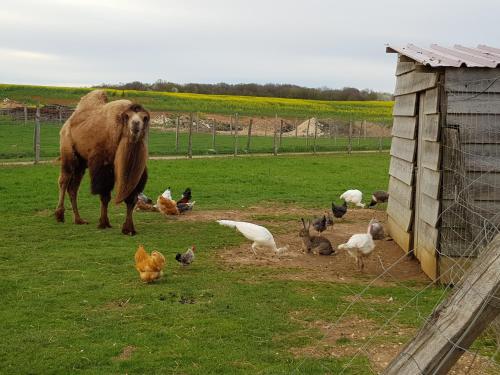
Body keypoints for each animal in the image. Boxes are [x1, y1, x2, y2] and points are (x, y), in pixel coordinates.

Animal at [54, 89, 149, 235]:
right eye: (127, 116)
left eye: (144, 117)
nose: (136, 124)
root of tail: (67, 123)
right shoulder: (104, 164)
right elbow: (104, 195)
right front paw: (103, 223)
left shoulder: (136, 173)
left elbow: (131, 198)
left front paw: (129, 229)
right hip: (68, 150)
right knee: (64, 180)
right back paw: (59, 215)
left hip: (81, 162)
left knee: (73, 187)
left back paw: (79, 219)